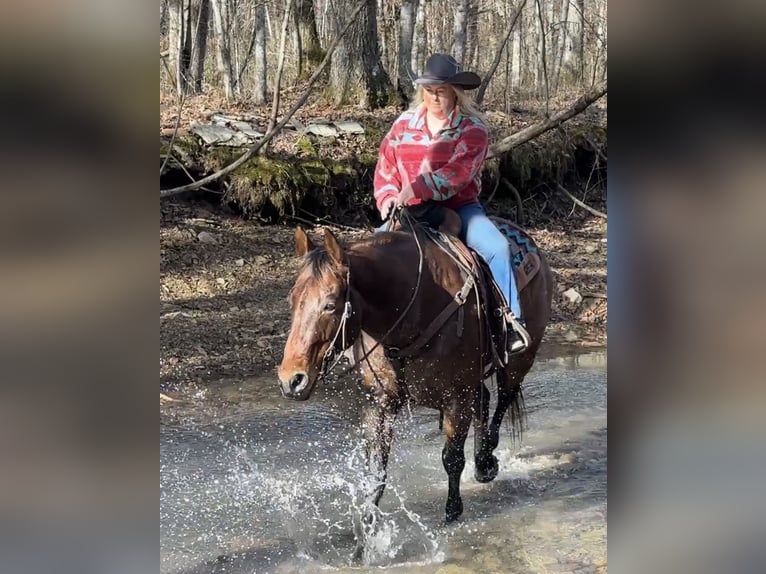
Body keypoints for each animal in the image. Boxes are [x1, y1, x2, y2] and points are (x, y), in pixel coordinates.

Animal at [277, 222, 553, 553]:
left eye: (330, 305)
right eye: (292, 299)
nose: (291, 379)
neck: (411, 309)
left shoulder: (456, 397)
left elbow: (451, 458)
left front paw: (452, 515)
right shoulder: (379, 403)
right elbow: (376, 473)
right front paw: (364, 542)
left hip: (518, 362)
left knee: (501, 402)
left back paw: (485, 462)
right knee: (485, 401)